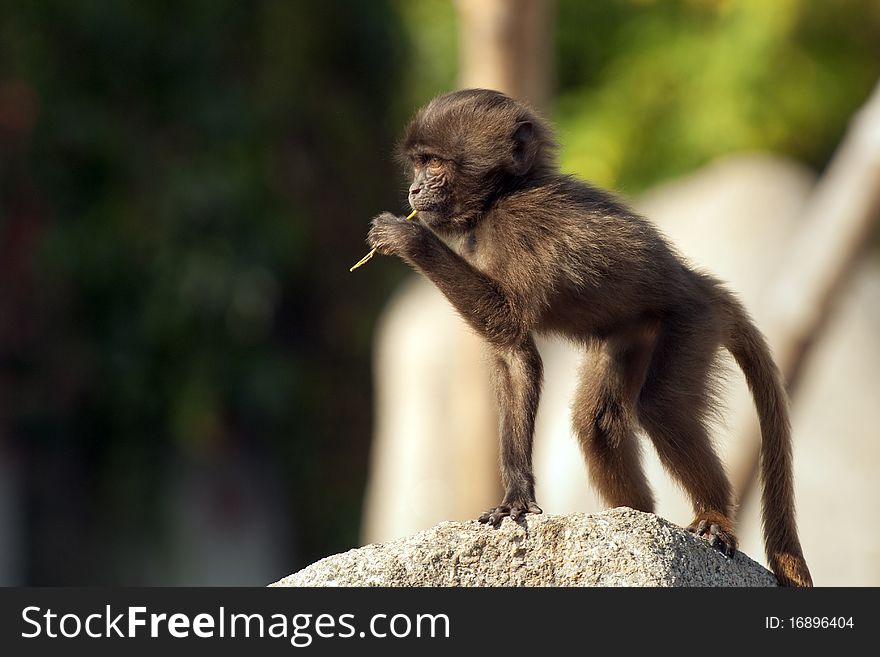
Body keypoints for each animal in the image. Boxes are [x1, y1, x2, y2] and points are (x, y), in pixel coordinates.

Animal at [364, 88, 812, 588]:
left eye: (435, 163)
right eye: (417, 164)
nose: (414, 191)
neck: (505, 196)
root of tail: (696, 280)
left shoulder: (519, 227)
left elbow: (511, 330)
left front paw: (407, 237)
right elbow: (512, 354)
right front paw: (517, 494)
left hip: (691, 320)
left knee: (663, 407)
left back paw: (714, 517)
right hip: (637, 333)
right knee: (598, 422)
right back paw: (635, 517)